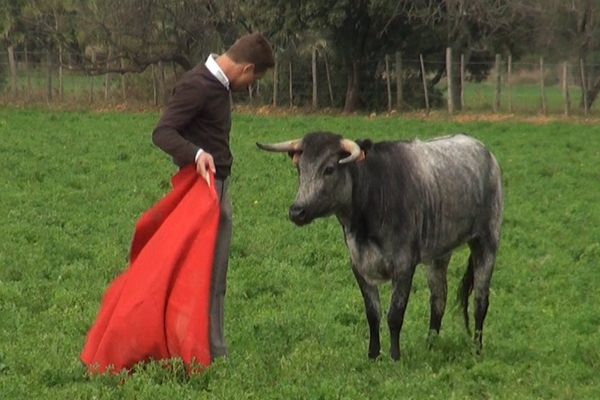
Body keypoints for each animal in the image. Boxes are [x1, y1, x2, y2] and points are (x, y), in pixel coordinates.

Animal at [255, 131, 504, 360]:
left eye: (329, 169)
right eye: (300, 169)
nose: (297, 211)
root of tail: (484, 151)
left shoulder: (404, 265)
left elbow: (394, 314)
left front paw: (395, 356)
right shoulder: (359, 265)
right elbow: (372, 313)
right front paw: (373, 355)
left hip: (486, 242)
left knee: (480, 300)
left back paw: (477, 349)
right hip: (438, 254)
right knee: (438, 299)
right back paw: (430, 345)